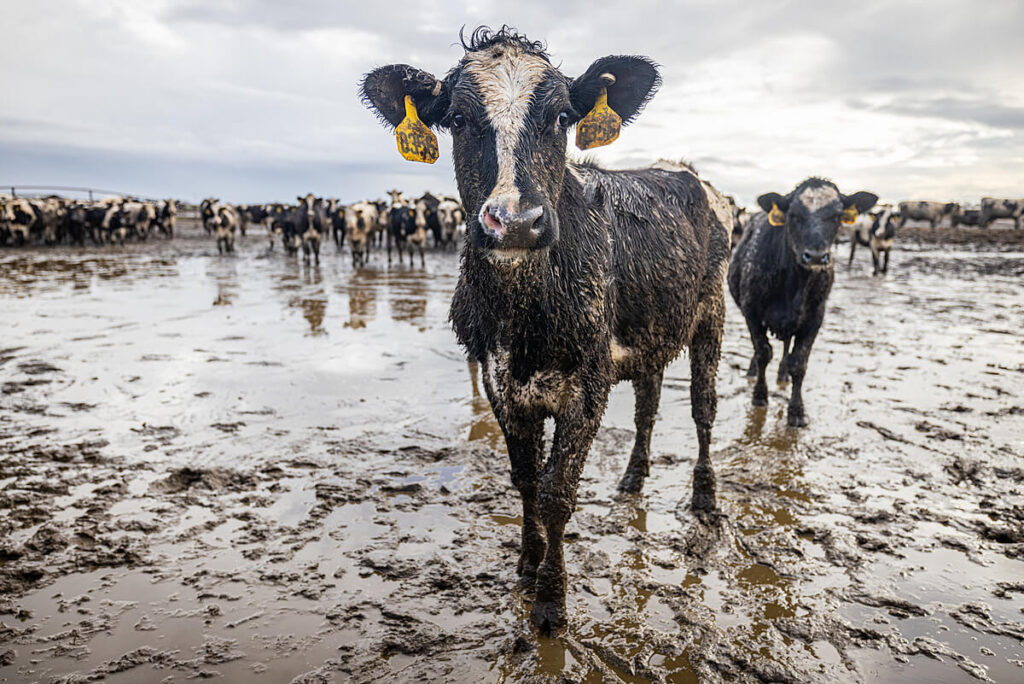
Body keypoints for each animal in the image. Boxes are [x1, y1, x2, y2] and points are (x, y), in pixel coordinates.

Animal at [364, 26, 733, 634]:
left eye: (562, 116)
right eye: (458, 119)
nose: (515, 221)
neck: (524, 315)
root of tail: (683, 169)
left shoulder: (586, 387)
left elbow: (557, 492)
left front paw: (551, 600)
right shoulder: (500, 381)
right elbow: (526, 481)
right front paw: (527, 561)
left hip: (712, 315)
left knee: (704, 408)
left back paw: (704, 499)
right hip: (649, 334)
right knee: (648, 405)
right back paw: (633, 478)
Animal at [729, 180, 880, 428]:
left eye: (836, 216)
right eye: (794, 215)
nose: (816, 256)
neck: (794, 284)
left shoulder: (814, 318)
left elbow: (798, 363)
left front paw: (796, 411)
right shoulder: (751, 312)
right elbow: (763, 353)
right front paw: (760, 395)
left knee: (786, 348)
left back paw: (782, 374)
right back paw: (753, 372)